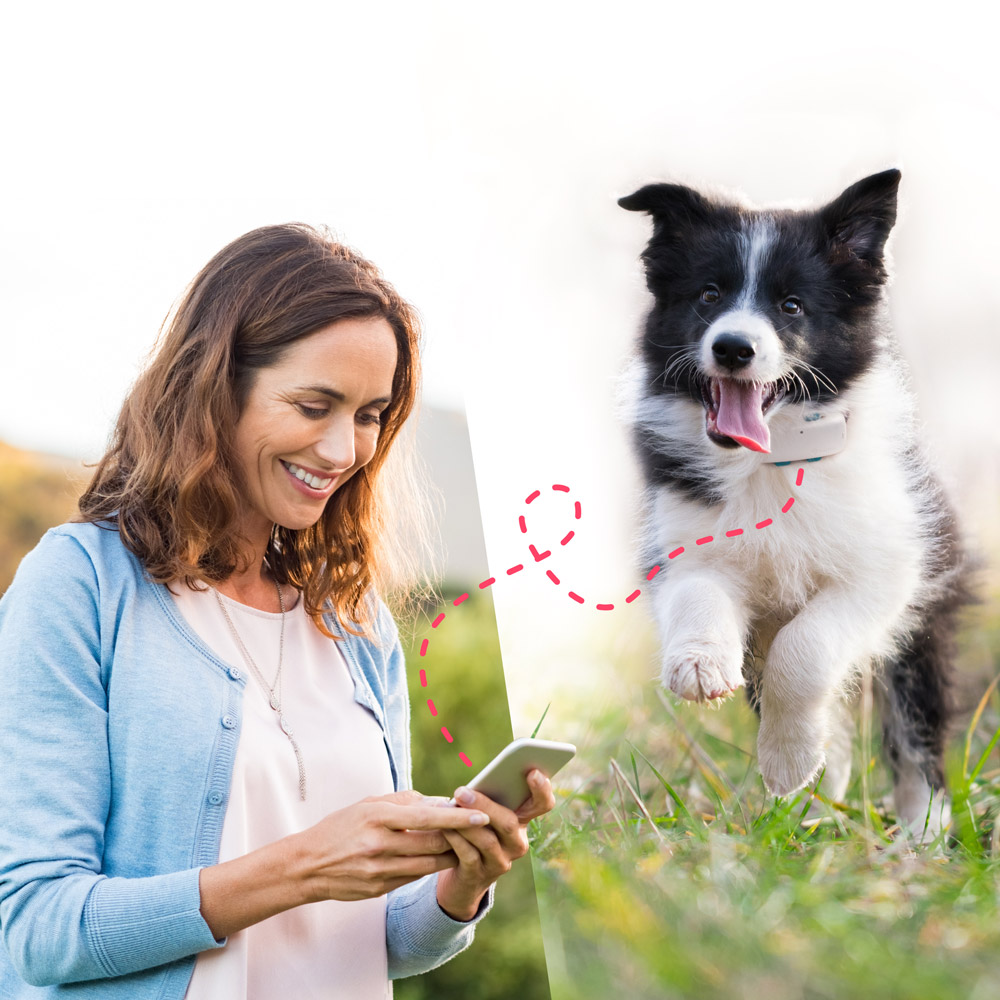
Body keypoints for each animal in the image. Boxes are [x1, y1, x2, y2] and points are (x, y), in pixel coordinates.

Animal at [616, 170, 968, 836]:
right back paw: (812, 805)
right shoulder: (682, 538)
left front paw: (788, 763)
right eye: (708, 294)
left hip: (925, 616)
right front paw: (700, 665)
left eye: (791, 306)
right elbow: (698, 590)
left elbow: (806, 649)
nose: (732, 348)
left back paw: (920, 831)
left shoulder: (889, 571)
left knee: (914, 726)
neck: (770, 458)